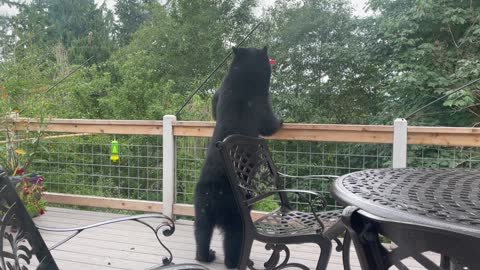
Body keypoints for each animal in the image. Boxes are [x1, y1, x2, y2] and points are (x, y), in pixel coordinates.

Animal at [194, 47, 284, 268]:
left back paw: (206, 255)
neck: (241, 81)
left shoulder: (219, 94)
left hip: (201, 207)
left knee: (201, 232)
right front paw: (281, 121)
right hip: (236, 212)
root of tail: (214, 194)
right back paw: (235, 260)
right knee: (234, 236)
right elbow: (268, 123)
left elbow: (214, 104)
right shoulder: (259, 102)